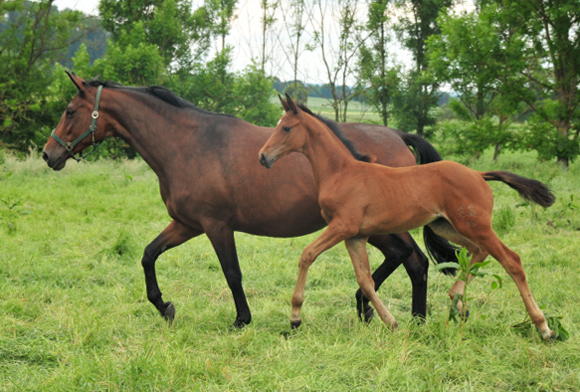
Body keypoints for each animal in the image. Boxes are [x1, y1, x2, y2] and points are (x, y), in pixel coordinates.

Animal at [260, 95, 556, 340]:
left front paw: (295, 317)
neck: (341, 172)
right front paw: (392, 323)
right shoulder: (356, 236)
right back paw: (457, 300)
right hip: (447, 226)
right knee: (477, 252)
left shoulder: (342, 227)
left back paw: (544, 328)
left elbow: (307, 255)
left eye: (286, 128)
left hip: (475, 225)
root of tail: (478, 174)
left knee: (511, 260)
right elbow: (365, 281)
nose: (263, 157)